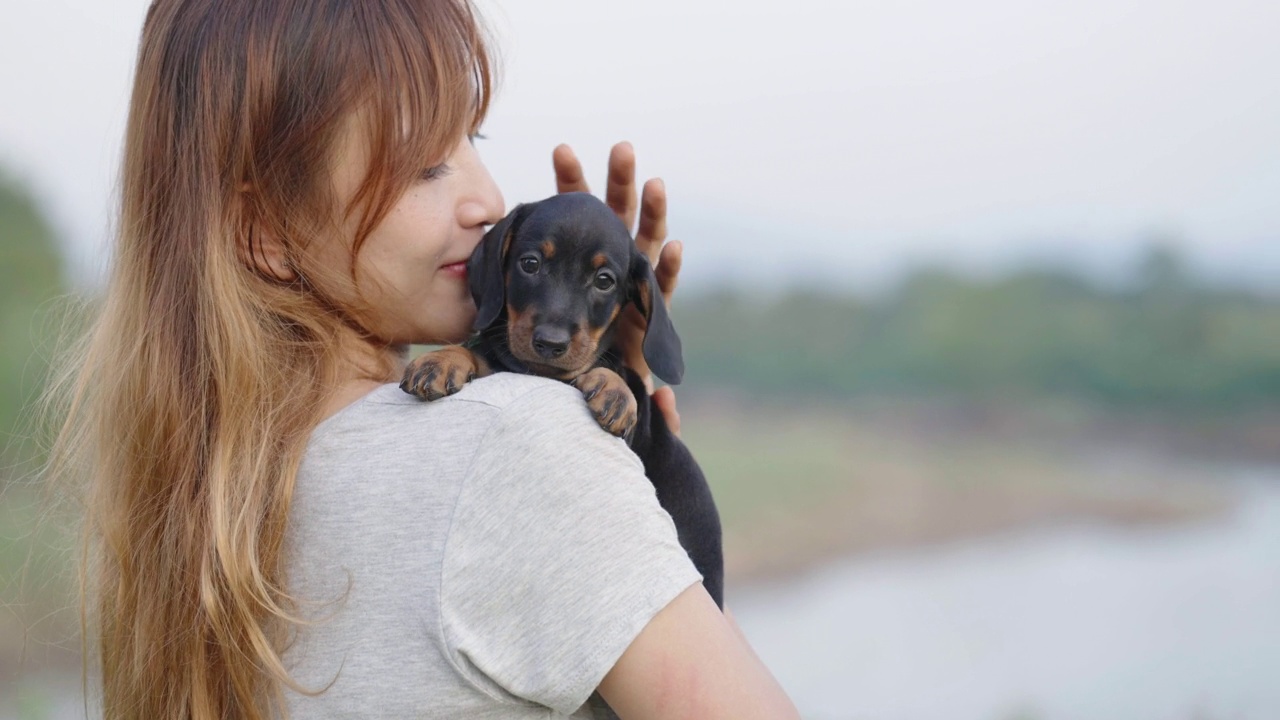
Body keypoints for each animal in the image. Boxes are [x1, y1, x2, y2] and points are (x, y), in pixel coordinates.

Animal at [399, 190, 721, 604]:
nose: (550, 344)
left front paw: (616, 392)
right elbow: (480, 352)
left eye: (604, 280)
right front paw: (442, 360)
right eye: (530, 264)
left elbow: (611, 372)